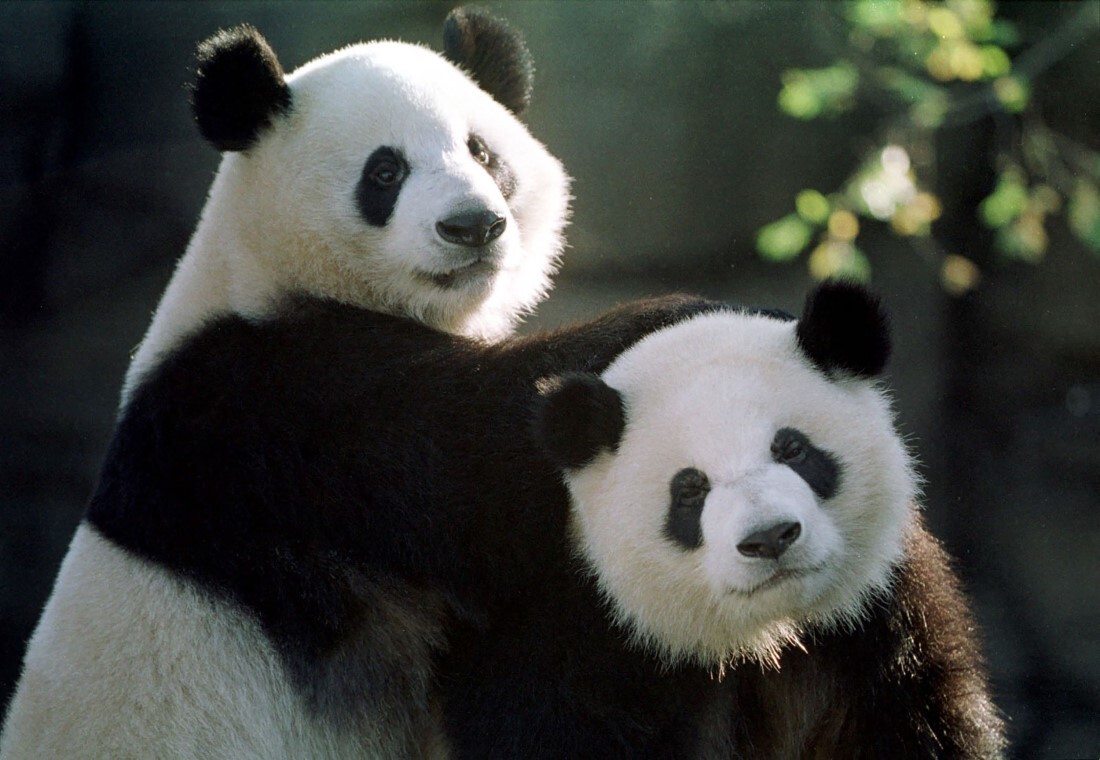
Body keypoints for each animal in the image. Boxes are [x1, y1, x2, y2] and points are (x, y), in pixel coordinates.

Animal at [4, 7, 576, 760]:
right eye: (385, 171)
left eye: (482, 153)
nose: (472, 225)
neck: (267, 271)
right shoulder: (271, 406)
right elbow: (486, 467)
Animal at [440, 280, 1007, 760]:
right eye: (690, 489)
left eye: (792, 449)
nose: (770, 538)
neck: (767, 636)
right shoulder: (577, 643)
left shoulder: (883, 621)